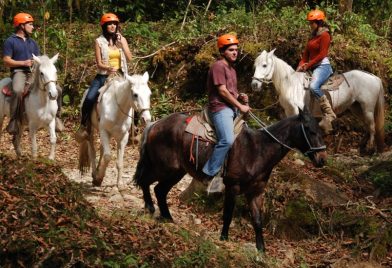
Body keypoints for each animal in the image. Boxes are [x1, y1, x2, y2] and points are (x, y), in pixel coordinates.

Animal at [133, 108, 326, 250]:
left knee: (159, 190)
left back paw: (167, 217)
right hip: (163, 168)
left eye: (321, 131)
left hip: (175, 172)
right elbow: (228, 214)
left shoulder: (256, 192)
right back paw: (150, 208)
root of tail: (155, 124)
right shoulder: (232, 186)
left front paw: (261, 249)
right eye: (309, 130)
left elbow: (257, 220)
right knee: (146, 182)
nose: (322, 159)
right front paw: (224, 238)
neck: (258, 150)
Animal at [251, 49, 386, 153]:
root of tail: (374, 77)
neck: (291, 85)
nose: (254, 85)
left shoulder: (297, 111)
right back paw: (361, 146)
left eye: (264, 65)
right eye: (255, 66)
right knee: (367, 125)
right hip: (357, 108)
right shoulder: (288, 110)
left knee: (372, 126)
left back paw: (369, 148)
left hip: (367, 108)